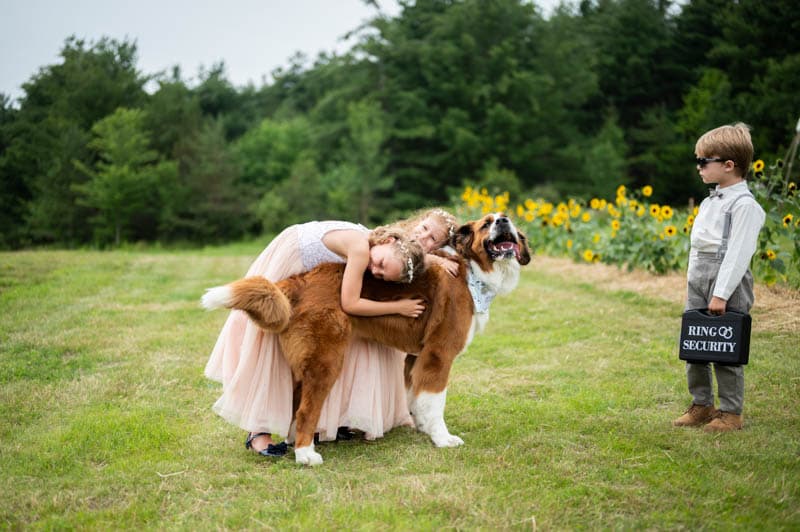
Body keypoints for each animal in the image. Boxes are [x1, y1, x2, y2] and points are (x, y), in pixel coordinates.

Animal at [202, 213, 532, 466]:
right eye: (487, 223)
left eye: (507, 220)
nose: (502, 220)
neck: (470, 271)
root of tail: (300, 280)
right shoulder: (438, 355)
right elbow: (435, 401)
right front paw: (442, 438)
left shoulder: (416, 357)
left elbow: (416, 397)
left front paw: (422, 427)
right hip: (326, 362)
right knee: (307, 409)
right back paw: (306, 455)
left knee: (295, 407)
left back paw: (300, 444)